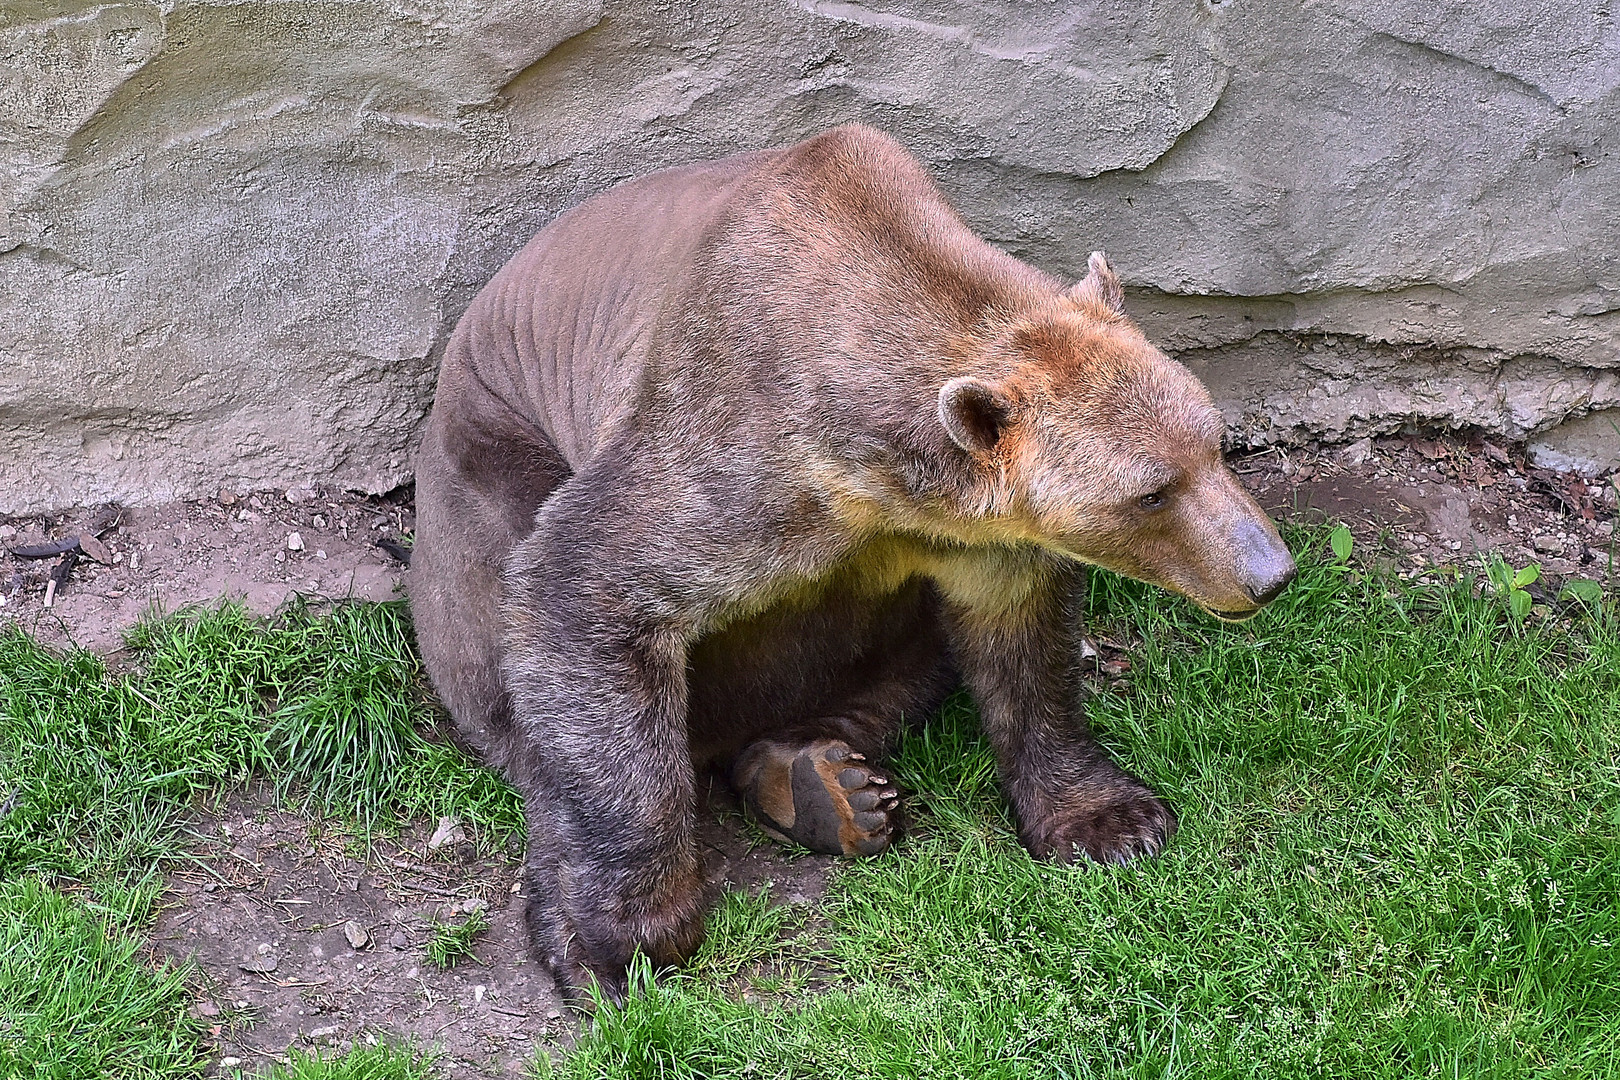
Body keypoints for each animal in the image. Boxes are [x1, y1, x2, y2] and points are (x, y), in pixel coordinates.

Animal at [411, 122, 1296, 1003]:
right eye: (1151, 492)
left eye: (1215, 442)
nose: (1269, 574)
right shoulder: (736, 455)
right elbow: (592, 586)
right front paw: (622, 937)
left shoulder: (974, 535)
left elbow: (1020, 644)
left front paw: (1111, 819)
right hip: (484, 474)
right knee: (511, 670)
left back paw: (823, 783)